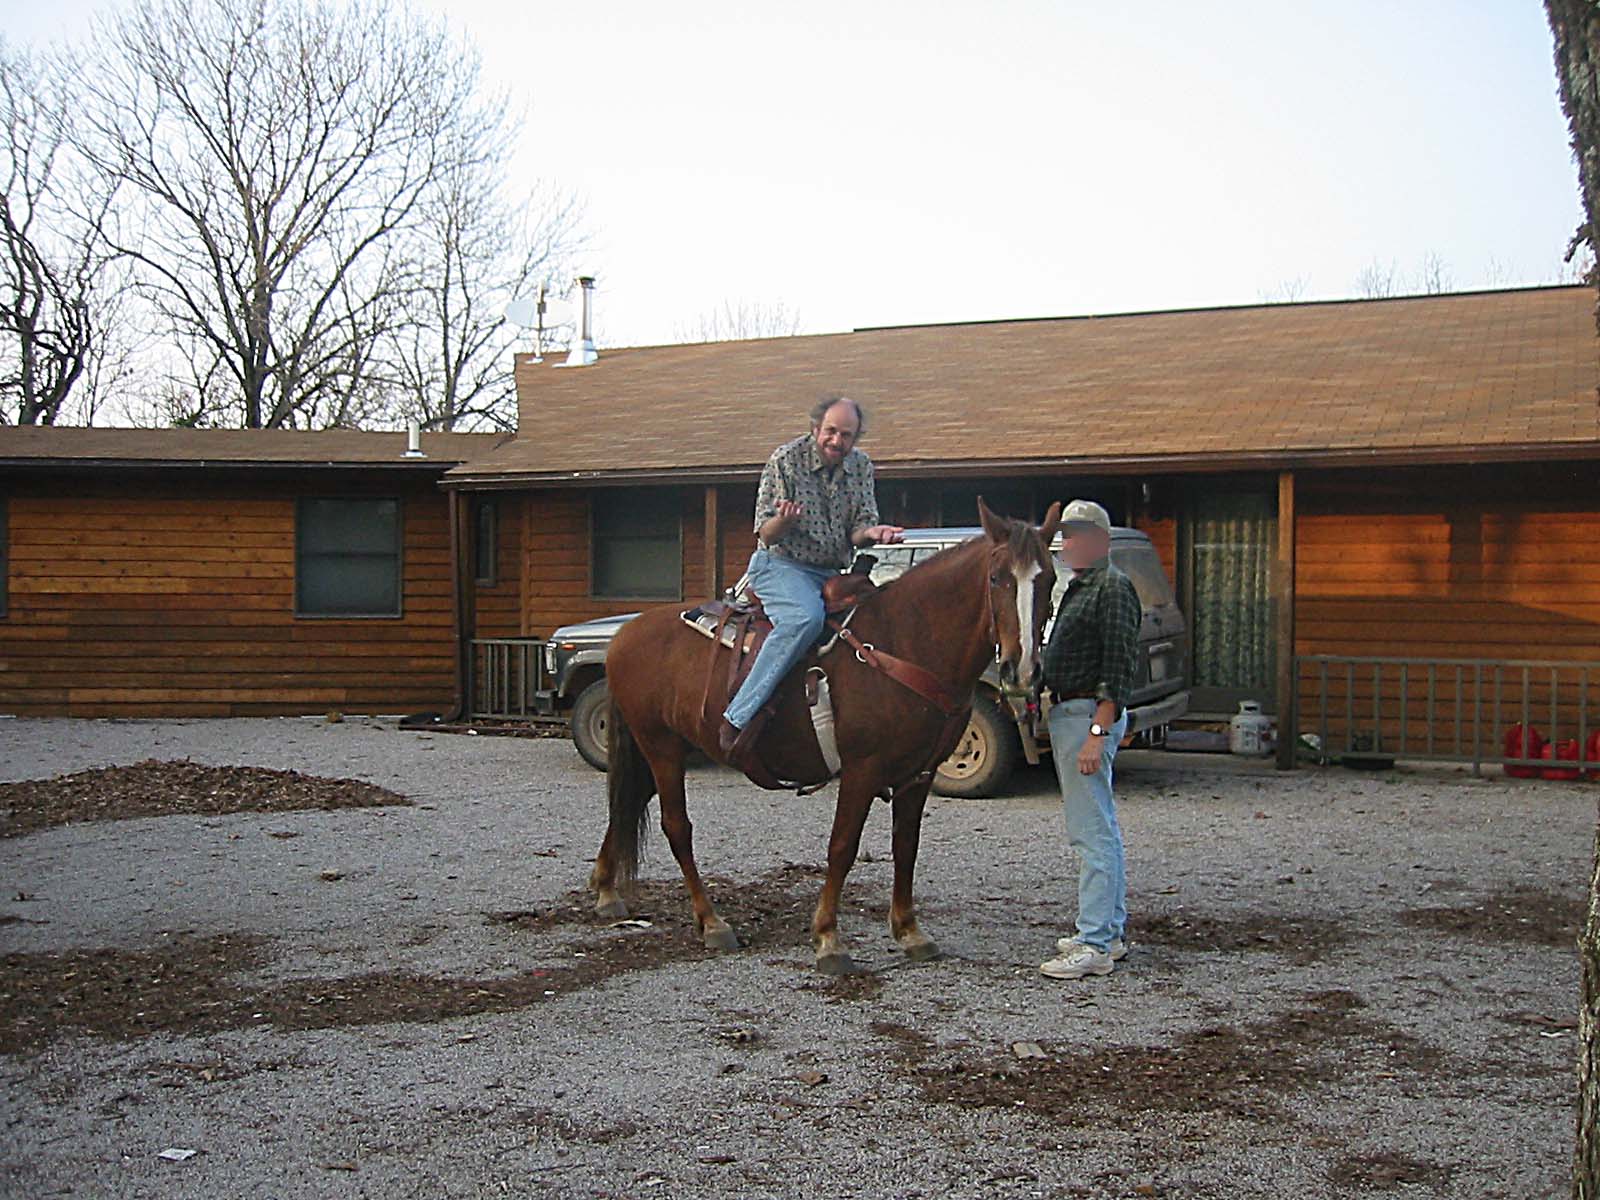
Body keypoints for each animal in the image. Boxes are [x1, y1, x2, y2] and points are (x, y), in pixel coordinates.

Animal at [588, 499, 1062, 979]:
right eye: (997, 577)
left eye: (1049, 579)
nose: (1022, 669)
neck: (903, 645)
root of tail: (624, 634)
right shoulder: (862, 770)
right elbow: (842, 847)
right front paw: (828, 939)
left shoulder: (919, 774)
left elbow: (905, 847)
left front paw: (909, 931)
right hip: (661, 745)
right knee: (676, 826)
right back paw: (711, 921)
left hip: (664, 747)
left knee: (628, 802)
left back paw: (607, 890)